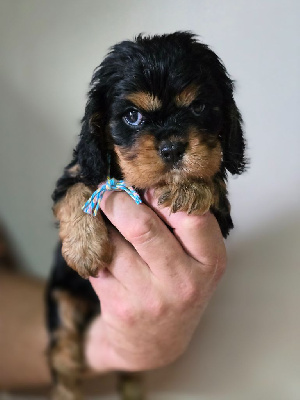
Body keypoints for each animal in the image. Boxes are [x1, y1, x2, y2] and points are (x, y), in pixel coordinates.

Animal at [46, 32, 246, 400]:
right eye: (132, 116)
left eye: (198, 107)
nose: (172, 148)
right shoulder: (79, 168)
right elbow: (79, 190)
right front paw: (85, 247)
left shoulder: (221, 217)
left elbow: (213, 185)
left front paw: (190, 186)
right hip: (61, 293)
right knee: (62, 344)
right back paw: (66, 384)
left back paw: (132, 385)